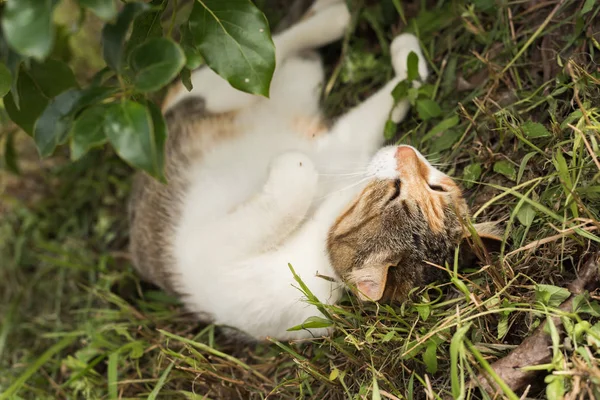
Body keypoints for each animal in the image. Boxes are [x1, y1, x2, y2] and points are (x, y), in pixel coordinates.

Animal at [129, 0, 500, 340]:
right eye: (434, 187)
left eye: (398, 191)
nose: (408, 152)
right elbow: (393, 97)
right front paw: (409, 60)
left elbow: (299, 172)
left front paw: (289, 161)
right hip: (251, 86)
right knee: (261, 52)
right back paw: (333, 19)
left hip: (269, 84)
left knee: (271, 54)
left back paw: (333, 18)